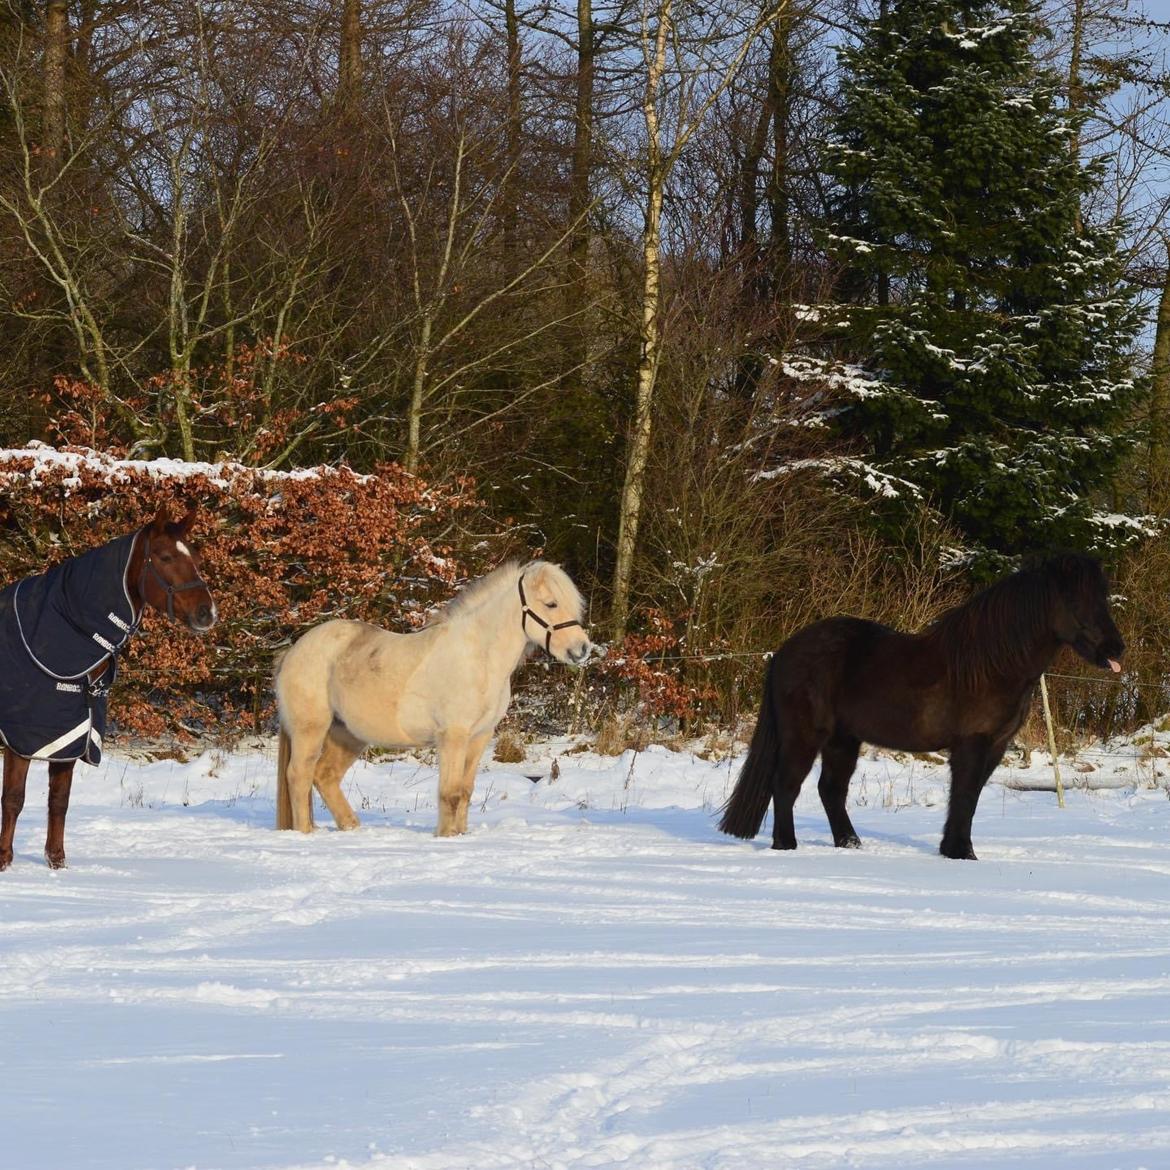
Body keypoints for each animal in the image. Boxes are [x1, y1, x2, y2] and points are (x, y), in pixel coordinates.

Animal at [0, 507, 217, 875]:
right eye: (165, 556)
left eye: (197, 557)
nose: (207, 613)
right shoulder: (24, 738)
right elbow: (13, 799)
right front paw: (3, 861)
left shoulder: (71, 736)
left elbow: (59, 801)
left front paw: (57, 863)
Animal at [273, 561, 594, 837]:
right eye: (551, 603)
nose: (582, 649)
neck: (478, 658)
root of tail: (293, 652)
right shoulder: (453, 735)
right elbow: (449, 792)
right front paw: (446, 836)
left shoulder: (480, 736)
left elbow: (465, 791)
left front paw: (460, 834)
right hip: (310, 729)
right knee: (299, 775)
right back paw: (305, 832)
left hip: (348, 734)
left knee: (324, 776)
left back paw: (351, 827)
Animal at [716, 552, 1127, 865]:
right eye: (1075, 602)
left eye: (1104, 599)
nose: (1115, 649)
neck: (992, 664)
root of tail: (784, 652)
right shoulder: (972, 743)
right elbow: (964, 796)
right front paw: (962, 854)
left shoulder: (995, 746)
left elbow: (969, 799)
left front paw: (953, 850)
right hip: (804, 736)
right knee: (786, 786)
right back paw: (787, 846)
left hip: (843, 741)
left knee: (830, 790)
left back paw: (851, 845)